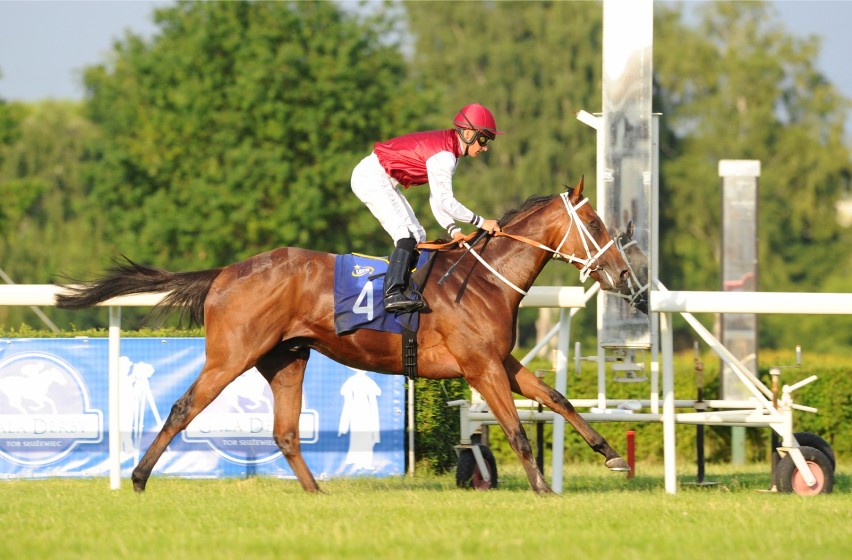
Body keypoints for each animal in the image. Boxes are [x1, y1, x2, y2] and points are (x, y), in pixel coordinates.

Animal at [55, 176, 632, 494]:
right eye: (597, 226)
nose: (625, 275)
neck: (484, 278)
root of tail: (225, 272)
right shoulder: (480, 367)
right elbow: (515, 430)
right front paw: (543, 488)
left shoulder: (498, 361)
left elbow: (555, 397)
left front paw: (610, 454)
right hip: (231, 355)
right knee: (182, 407)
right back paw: (137, 478)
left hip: (286, 359)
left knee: (285, 432)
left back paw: (317, 492)